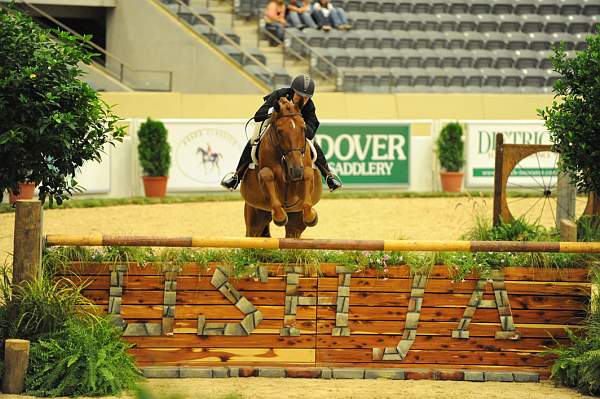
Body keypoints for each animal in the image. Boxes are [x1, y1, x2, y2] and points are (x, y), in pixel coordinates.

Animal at [240, 97, 324, 238]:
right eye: (279, 131)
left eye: (303, 128)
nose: (296, 171)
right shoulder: (266, 175)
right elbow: (266, 175)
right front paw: (280, 217)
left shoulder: (303, 174)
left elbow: (307, 175)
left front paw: (312, 216)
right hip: (255, 217)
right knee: (252, 233)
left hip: (295, 223)